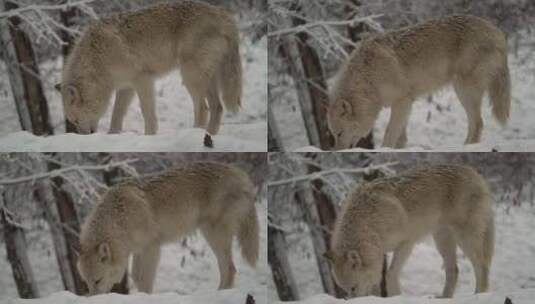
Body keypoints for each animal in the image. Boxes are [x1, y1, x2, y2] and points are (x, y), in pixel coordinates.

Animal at [55, 1, 242, 140]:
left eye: (76, 120)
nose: (85, 136)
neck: (97, 58)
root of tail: (224, 15)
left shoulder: (143, 80)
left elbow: (147, 114)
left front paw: (149, 136)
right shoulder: (126, 87)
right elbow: (116, 116)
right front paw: (113, 135)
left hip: (190, 77)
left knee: (203, 109)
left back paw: (195, 134)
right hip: (206, 79)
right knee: (218, 107)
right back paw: (209, 136)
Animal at [76, 163, 258, 296]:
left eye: (98, 280)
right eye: (86, 283)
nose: (94, 298)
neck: (119, 218)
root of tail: (240, 173)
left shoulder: (151, 248)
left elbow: (144, 280)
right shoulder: (137, 250)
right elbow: (136, 276)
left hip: (214, 235)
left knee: (230, 269)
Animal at [322, 165, 494, 298]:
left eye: (354, 288)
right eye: (345, 290)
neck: (370, 223)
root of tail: (475, 173)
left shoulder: (406, 243)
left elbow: (390, 274)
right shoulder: (379, 253)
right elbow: (379, 282)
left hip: (464, 238)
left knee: (482, 266)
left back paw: (479, 295)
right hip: (441, 239)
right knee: (454, 270)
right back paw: (445, 298)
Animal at [328, 15, 512, 150]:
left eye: (339, 134)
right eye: (333, 136)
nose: (337, 152)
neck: (368, 78)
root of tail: (497, 31)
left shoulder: (402, 101)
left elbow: (389, 134)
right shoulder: (405, 104)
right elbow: (401, 138)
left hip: (464, 91)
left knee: (478, 123)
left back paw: (466, 147)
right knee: (476, 124)